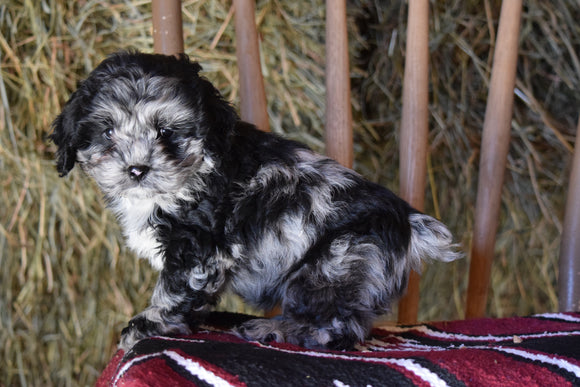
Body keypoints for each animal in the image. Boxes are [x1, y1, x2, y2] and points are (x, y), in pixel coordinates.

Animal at [52, 50, 462, 352]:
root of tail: (408, 222)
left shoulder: (199, 251)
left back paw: (274, 330)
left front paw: (147, 325)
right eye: (107, 132)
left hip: (333, 265)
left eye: (166, 132)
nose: (136, 169)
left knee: (334, 324)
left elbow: (172, 289)